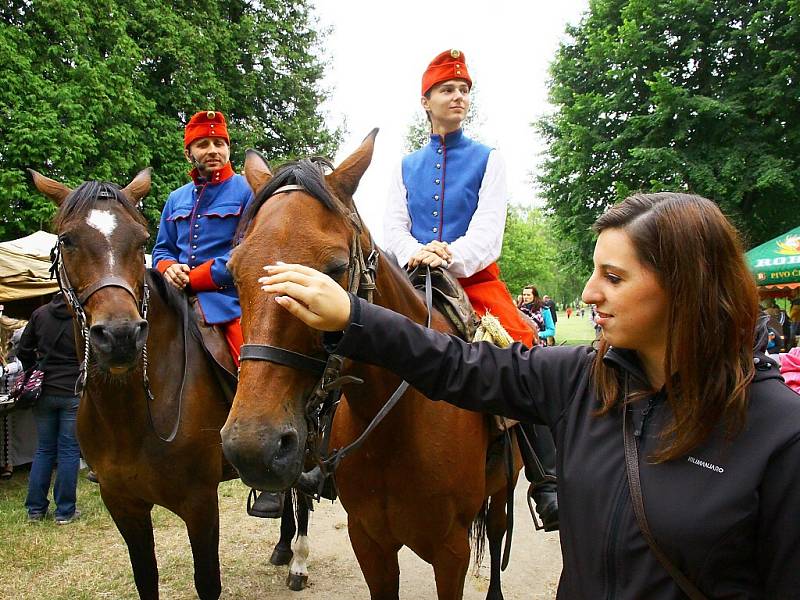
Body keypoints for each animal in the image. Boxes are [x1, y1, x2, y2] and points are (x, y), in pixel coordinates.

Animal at [28, 170, 310, 600]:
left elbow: (207, 581)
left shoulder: (199, 503)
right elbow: (146, 577)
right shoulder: (123, 505)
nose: (120, 335)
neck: (130, 414)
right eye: (67, 240)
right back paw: (281, 546)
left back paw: (298, 561)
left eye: (140, 240)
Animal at [222, 132, 520, 600]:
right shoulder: (369, 542)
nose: (252, 446)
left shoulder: (450, 552)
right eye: (234, 271)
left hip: (504, 493)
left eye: (337, 267)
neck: (397, 430)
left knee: (495, 532)